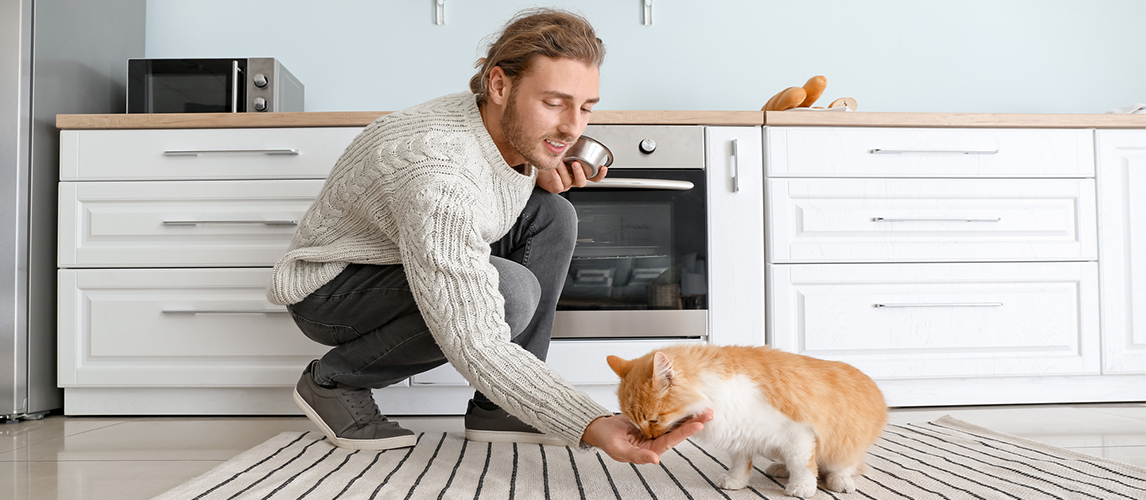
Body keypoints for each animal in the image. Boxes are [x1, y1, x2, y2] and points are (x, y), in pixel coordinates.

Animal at [609, 344, 884, 495]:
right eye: (637, 423)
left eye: (654, 420)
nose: (648, 437)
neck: (711, 388)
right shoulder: (740, 434)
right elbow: (740, 463)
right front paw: (735, 482)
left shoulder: (799, 434)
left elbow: (802, 465)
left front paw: (802, 488)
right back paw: (779, 468)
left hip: (844, 444)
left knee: (843, 467)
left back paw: (840, 482)